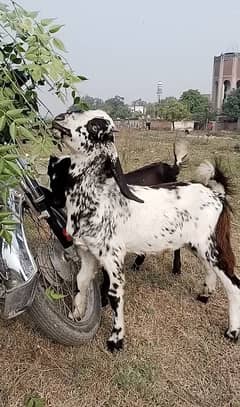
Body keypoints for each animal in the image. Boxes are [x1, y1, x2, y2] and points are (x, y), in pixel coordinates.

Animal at [51, 110, 240, 352]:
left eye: (95, 126)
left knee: (233, 285)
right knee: (210, 270)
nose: (60, 118)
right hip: (199, 245)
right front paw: (75, 315)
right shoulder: (87, 252)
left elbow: (114, 294)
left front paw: (116, 340)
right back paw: (205, 294)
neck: (99, 197)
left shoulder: (113, 256)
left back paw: (232, 332)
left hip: (212, 244)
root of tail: (217, 195)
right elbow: (81, 281)